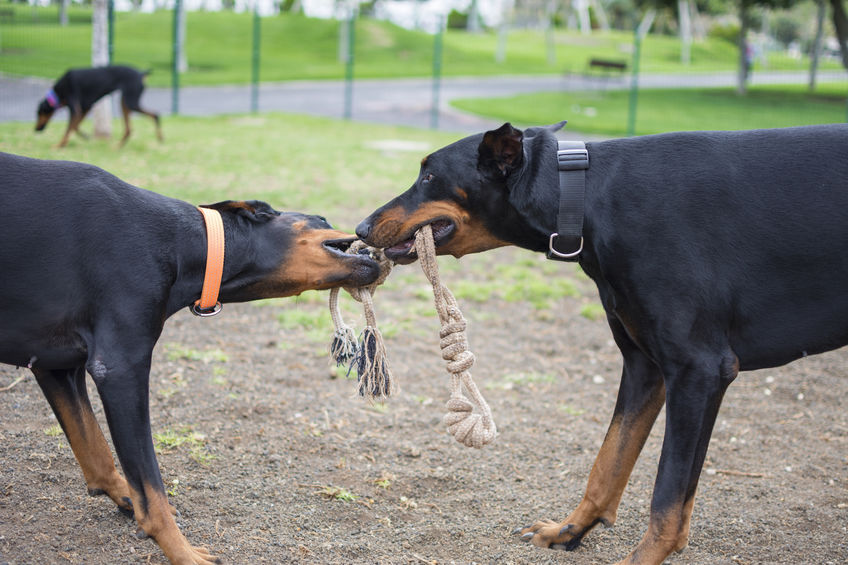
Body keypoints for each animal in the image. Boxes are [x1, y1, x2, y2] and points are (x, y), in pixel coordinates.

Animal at [0, 151, 378, 564]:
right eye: (321, 220)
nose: (366, 232)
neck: (188, 243)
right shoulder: (120, 367)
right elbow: (152, 489)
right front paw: (183, 552)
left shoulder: (53, 364)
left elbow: (97, 452)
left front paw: (124, 496)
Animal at [358, 123, 848, 564]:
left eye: (429, 176)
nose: (361, 227)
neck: (585, 195)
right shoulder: (646, 367)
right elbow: (609, 462)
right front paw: (568, 531)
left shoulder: (699, 369)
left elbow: (667, 497)